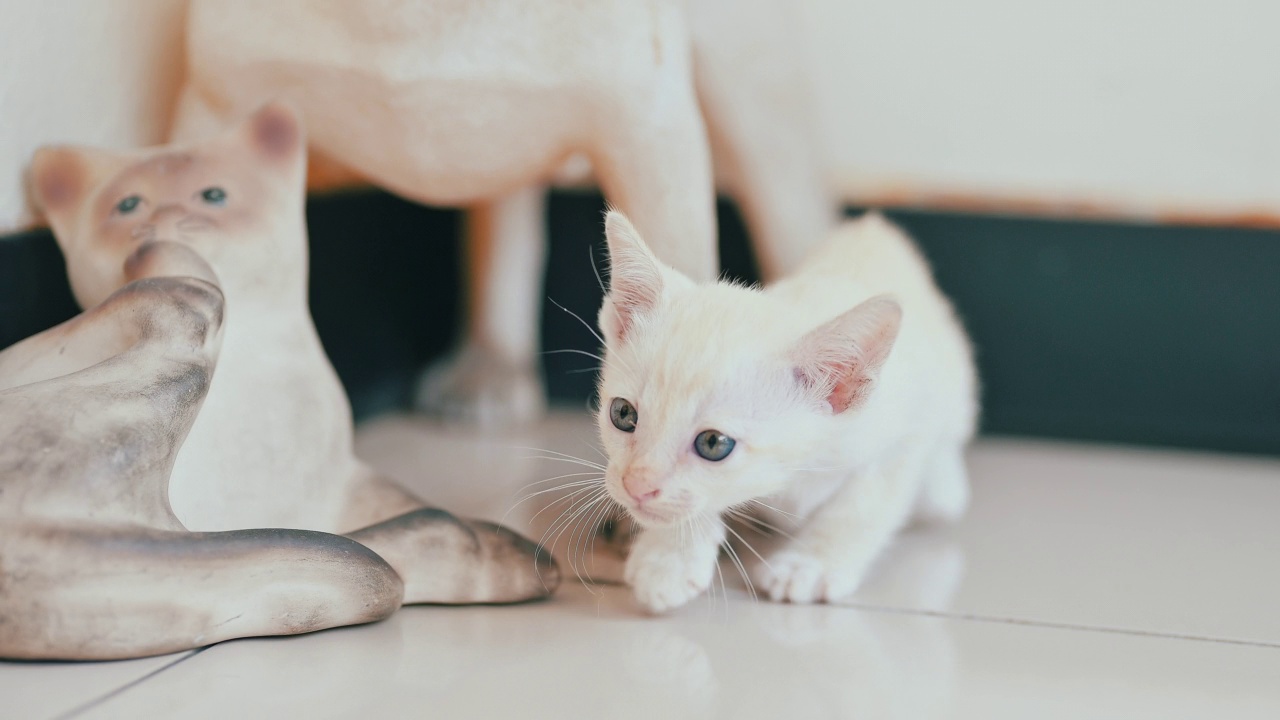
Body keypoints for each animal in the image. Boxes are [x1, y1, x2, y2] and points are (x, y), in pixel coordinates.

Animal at [593, 210, 972, 607]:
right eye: (623, 415)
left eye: (713, 444)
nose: (637, 485)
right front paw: (669, 556)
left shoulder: (907, 430)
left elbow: (860, 507)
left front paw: (809, 563)